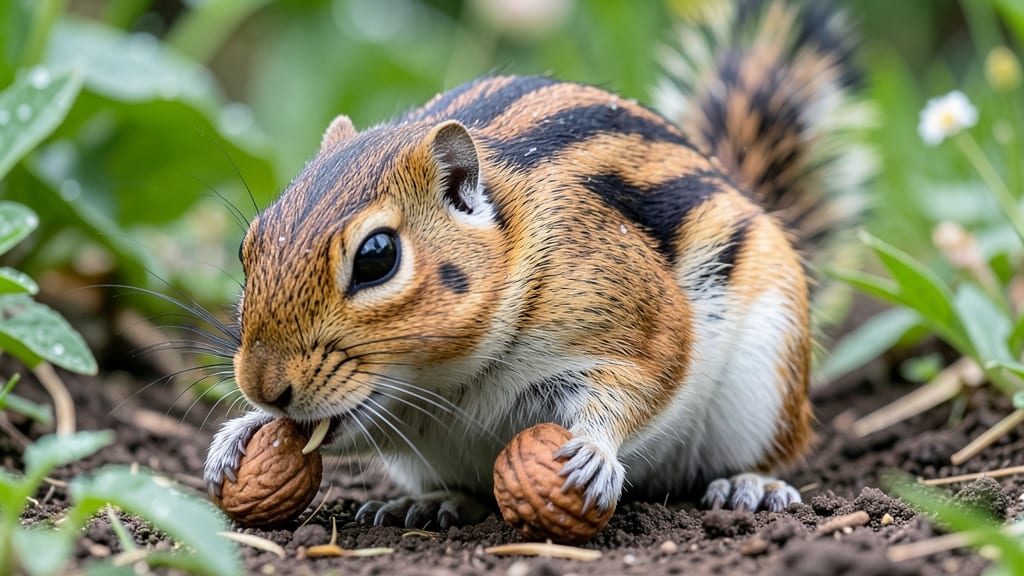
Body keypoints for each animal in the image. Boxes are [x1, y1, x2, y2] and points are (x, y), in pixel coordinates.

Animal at [204, 0, 873, 528]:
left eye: (377, 258)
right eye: (248, 245)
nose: (263, 386)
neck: (442, 380)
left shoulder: (632, 314)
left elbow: (642, 379)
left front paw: (594, 451)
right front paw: (240, 433)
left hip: (767, 377)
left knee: (767, 452)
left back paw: (749, 485)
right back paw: (430, 503)